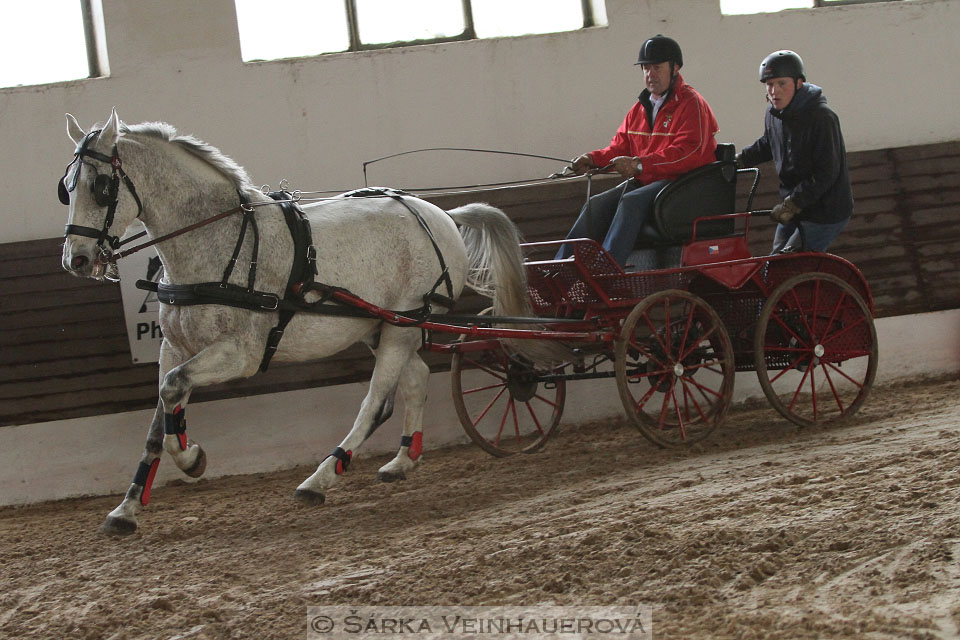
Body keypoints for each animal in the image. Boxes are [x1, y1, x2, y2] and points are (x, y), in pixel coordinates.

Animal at [58, 110, 540, 536]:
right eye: (66, 187)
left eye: (102, 187)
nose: (76, 259)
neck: (218, 242)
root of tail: (442, 215)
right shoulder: (173, 347)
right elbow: (159, 418)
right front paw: (127, 509)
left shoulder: (240, 354)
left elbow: (174, 389)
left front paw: (192, 458)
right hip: (380, 326)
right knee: (416, 380)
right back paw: (402, 461)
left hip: (401, 326)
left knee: (375, 403)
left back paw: (320, 479)